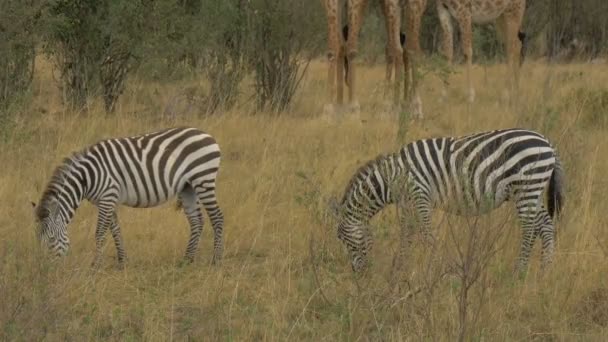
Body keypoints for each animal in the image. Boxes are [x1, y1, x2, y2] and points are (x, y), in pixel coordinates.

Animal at [31, 126, 226, 268]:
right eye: (37, 240)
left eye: (51, 239)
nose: (44, 269)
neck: (87, 177)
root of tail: (207, 135)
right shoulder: (108, 200)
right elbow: (116, 230)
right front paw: (122, 261)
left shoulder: (107, 197)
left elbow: (100, 232)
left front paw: (96, 265)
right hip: (188, 187)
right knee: (197, 221)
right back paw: (187, 260)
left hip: (203, 179)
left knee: (217, 217)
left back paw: (215, 260)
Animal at [332, 128, 564, 276]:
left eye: (343, 239)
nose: (358, 274)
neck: (392, 177)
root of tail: (548, 142)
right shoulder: (407, 203)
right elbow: (407, 235)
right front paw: (399, 268)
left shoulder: (420, 195)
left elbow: (426, 234)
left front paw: (436, 268)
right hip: (532, 190)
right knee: (545, 225)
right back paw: (545, 270)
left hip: (527, 187)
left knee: (529, 229)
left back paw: (520, 272)